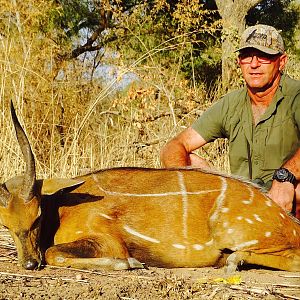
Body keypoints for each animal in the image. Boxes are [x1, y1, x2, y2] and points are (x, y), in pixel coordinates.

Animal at [0, 102, 298, 272]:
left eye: (37, 217)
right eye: (5, 225)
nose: (29, 263)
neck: (63, 208)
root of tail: (288, 220)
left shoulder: (108, 241)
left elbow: (54, 253)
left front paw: (131, 262)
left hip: (236, 232)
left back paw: (235, 261)